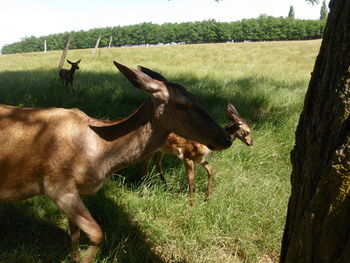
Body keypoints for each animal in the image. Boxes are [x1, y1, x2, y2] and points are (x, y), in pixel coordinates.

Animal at [0, 62, 232, 263]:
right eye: (182, 105)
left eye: (196, 97)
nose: (226, 138)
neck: (100, 154)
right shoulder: (57, 186)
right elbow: (96, 233)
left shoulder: (76, 191)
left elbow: (74, 233)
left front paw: (75, 257)